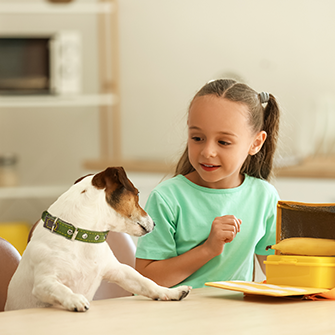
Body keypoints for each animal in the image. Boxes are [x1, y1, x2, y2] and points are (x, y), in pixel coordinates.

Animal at [4, 168, 192, 312]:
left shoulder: (120, 271)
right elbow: (61, 289)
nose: (155, 223)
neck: (83, 238)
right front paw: (75, 300)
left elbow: (147, 283)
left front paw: (172, 292)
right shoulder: (44, 282)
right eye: (138, 193)